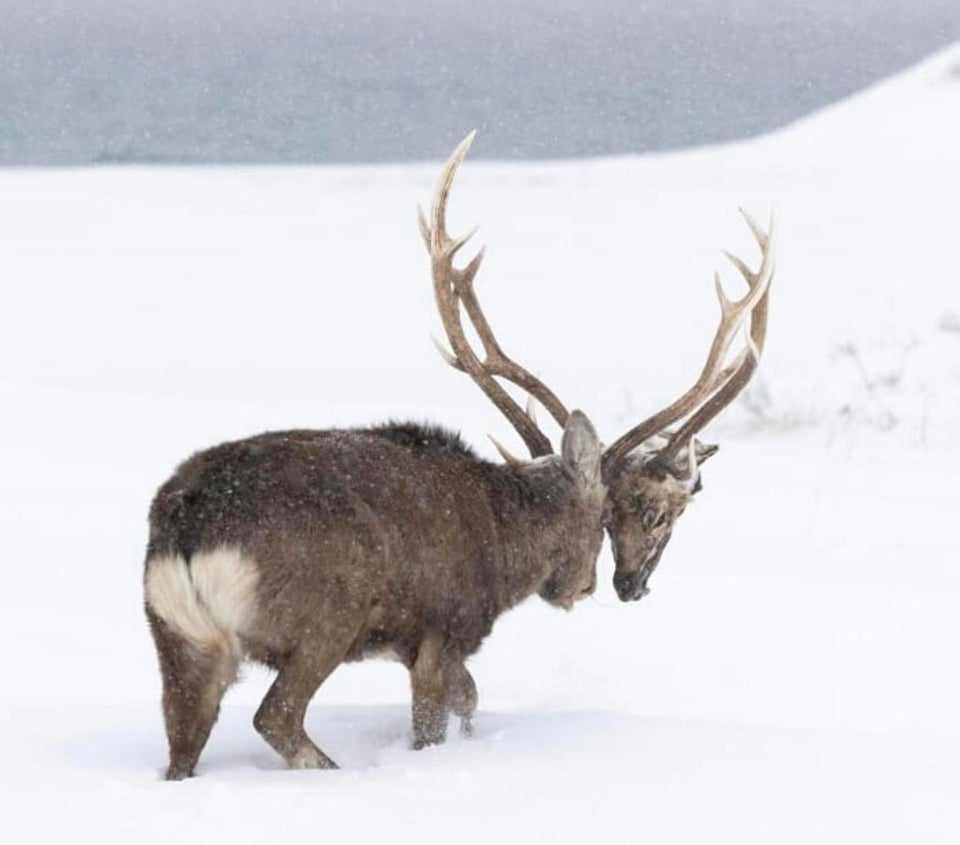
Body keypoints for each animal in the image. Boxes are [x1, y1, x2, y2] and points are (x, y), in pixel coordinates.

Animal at [142, 130, 772, 780]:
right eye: (612, 513)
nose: (595, 586)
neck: (503, 541)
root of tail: (188, 535)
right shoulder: (443, 626)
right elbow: (443, 715)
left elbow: (469, 700)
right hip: (326, 616)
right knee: (277, 716)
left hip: (176, 635)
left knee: (182, 743)